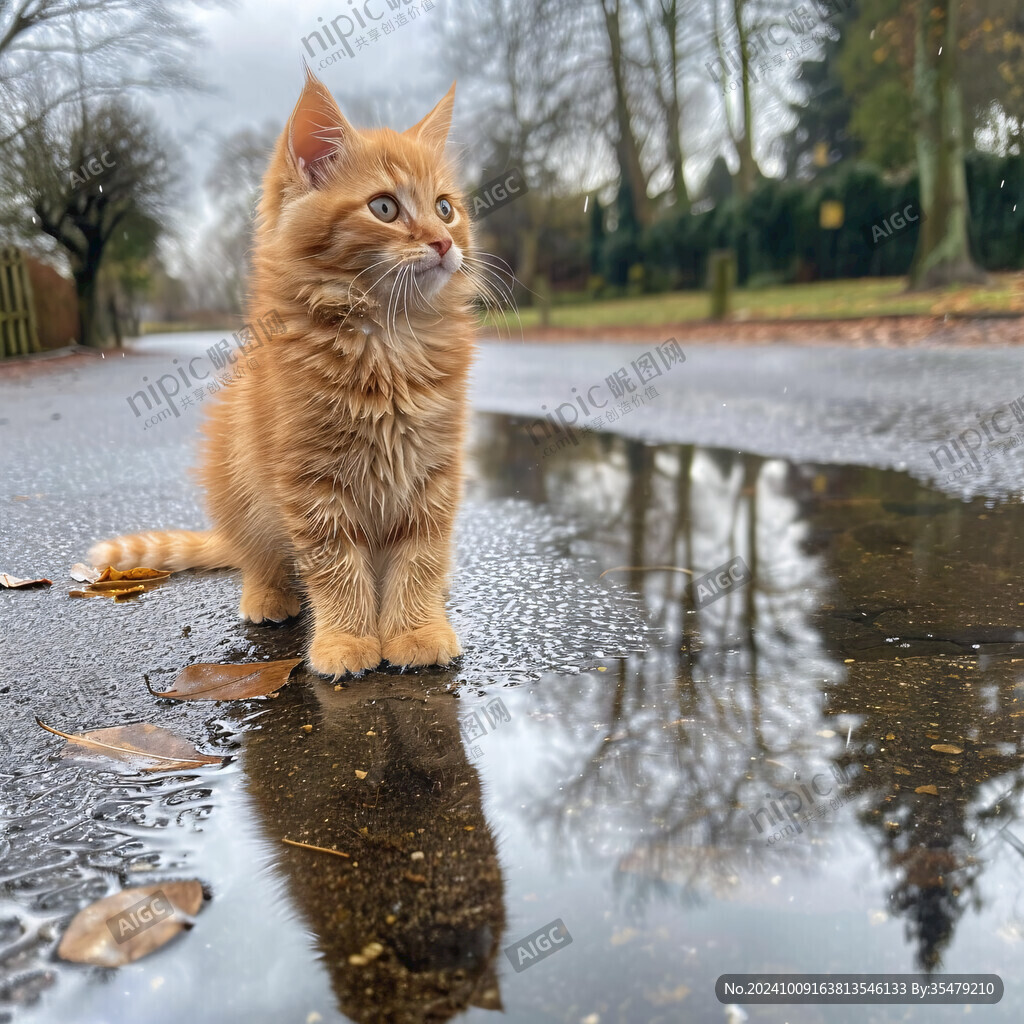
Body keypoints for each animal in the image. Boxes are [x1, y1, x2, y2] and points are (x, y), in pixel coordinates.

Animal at [88, 72, 475, 679]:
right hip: (236, 484)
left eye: (445, 207)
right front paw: (348, 639)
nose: (444, 242)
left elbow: (420, 557)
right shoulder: (310, 483)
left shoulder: (434, 472)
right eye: (384, 207)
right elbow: (335, 567)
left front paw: (415, 629)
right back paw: (268, 596)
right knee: (260, 557)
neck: (387, 344)